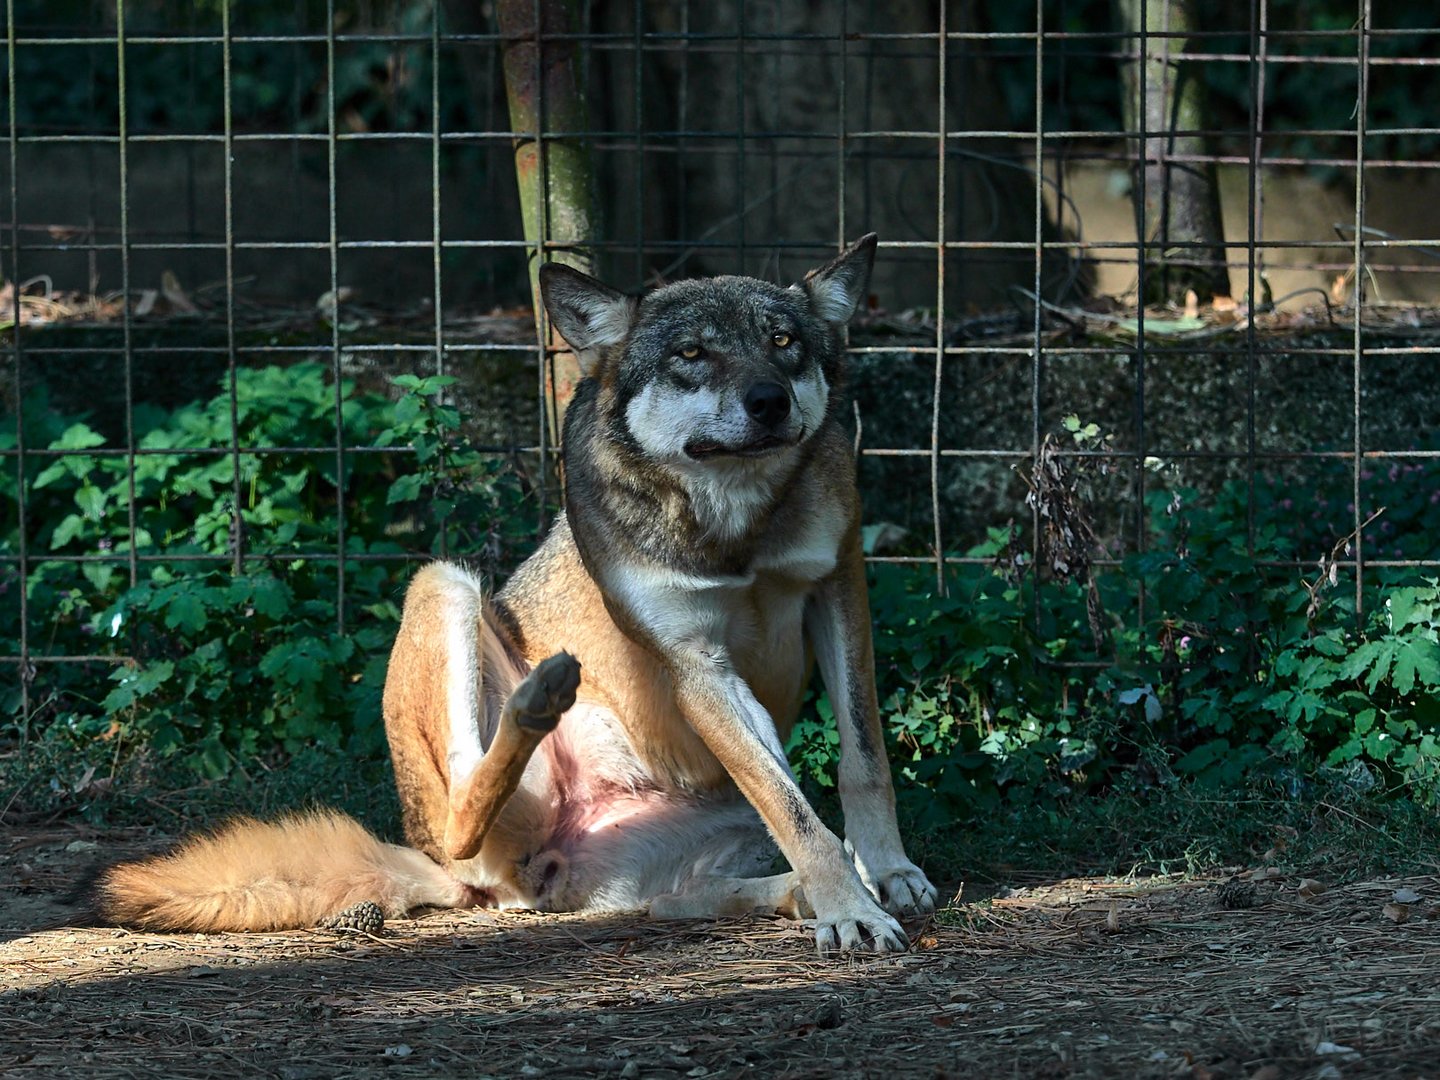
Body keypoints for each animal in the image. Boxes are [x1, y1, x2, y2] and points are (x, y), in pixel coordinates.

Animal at [95, 236, 938, 956]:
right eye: (692, 355)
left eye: (785, 343)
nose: (768, 401)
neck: (736, 529)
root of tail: (528, 874)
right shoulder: (696, 664)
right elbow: (796, 808)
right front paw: (851, 911)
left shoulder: (841, 588)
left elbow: (860, 764)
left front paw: (885, 876)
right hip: (441, 584)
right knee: (462, 811)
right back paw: (537, 704)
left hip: (687, 861)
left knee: (691, 896)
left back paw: (800, 893)